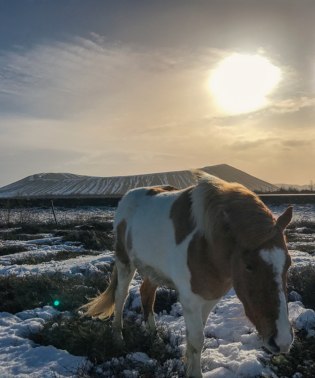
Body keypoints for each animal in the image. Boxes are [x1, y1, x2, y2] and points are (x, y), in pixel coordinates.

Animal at [82, 172, 296, 378]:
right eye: (248, 265)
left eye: (288, 264)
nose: (282, 341)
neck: (207, 244)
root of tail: (127, 197)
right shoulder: (190, 299)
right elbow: (196, 340)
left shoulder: (209, 298)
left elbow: (195, 339)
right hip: (125, 262)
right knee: (120, 296)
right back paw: (118, 338)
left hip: (153, 271)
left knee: (147, 294)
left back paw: (153, 336)